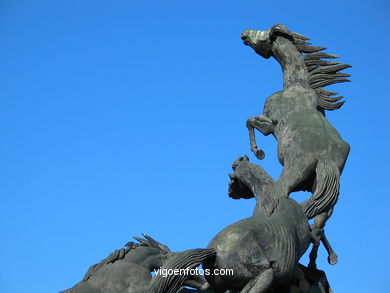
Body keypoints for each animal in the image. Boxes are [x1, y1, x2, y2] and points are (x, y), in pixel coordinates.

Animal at [241, 24, 350, 266]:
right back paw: (317, 260)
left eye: (263, 36)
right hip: (324, 189)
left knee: (276, 198)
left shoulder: (269, 123)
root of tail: (326, 154)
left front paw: (258, 152)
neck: (298, 85)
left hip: (292, 174)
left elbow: (249, 121)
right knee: (319, 222)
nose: (244, 34)